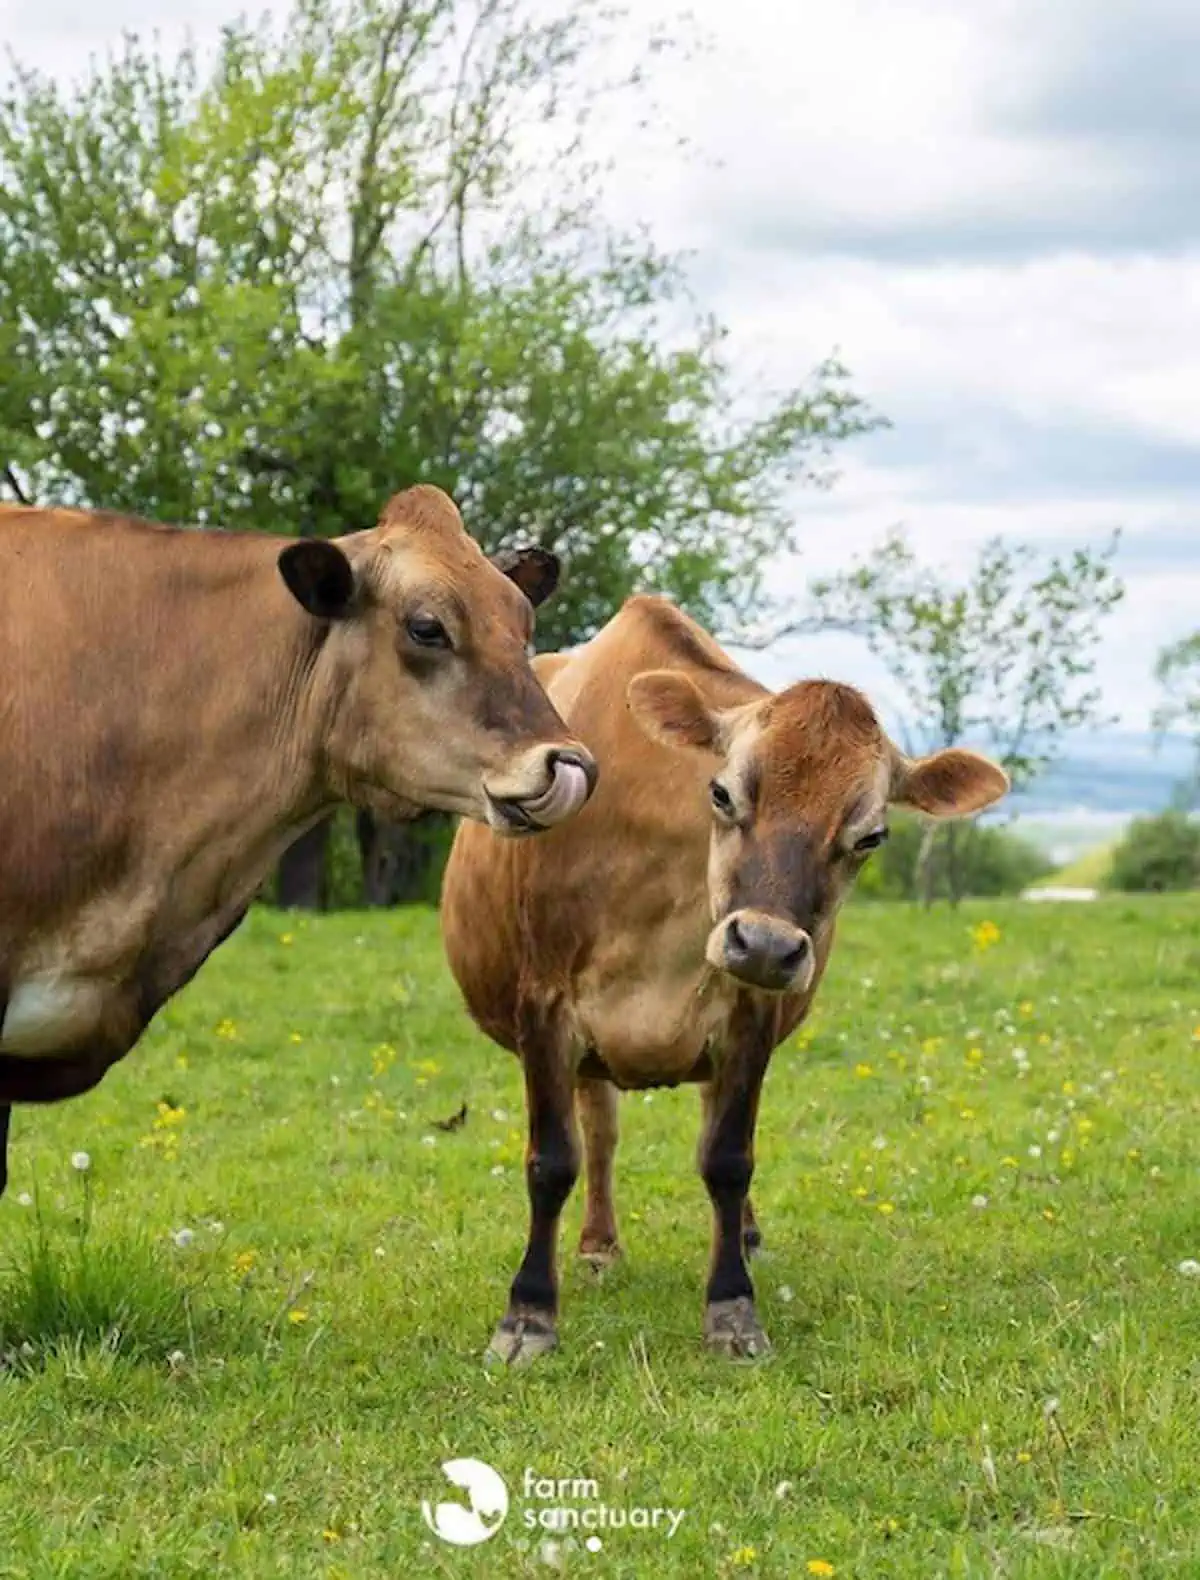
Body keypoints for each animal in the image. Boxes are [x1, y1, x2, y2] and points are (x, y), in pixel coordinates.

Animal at [439, 597, 1005, 1365]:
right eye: (722, 792)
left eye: (871, 836)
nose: (765, 943)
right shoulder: (545, 1007)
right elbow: (553, 1160)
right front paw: (528, 1316)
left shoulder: (749, 1016)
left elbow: (730, 1158)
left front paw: (733, 1307)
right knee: (601, 1131)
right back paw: (598, 1246)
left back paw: (743, 1234)